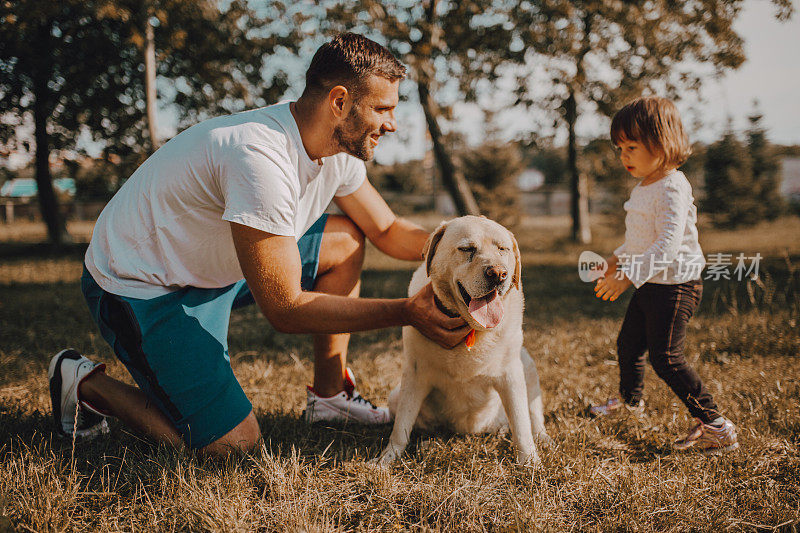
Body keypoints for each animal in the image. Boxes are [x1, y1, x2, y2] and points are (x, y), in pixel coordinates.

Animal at [376, 216, 552, 466]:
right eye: (467, 249)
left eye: (502, 249)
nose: (498, 273)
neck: (473, 328)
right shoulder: (415, 373)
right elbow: (401, 427)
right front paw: (386, 460)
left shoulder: (511, 374)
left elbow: (521, 423)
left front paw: (529, 461)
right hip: (395, 397)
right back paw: (429, 444)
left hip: (527, 365)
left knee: (533, 417)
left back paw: (540, 438)